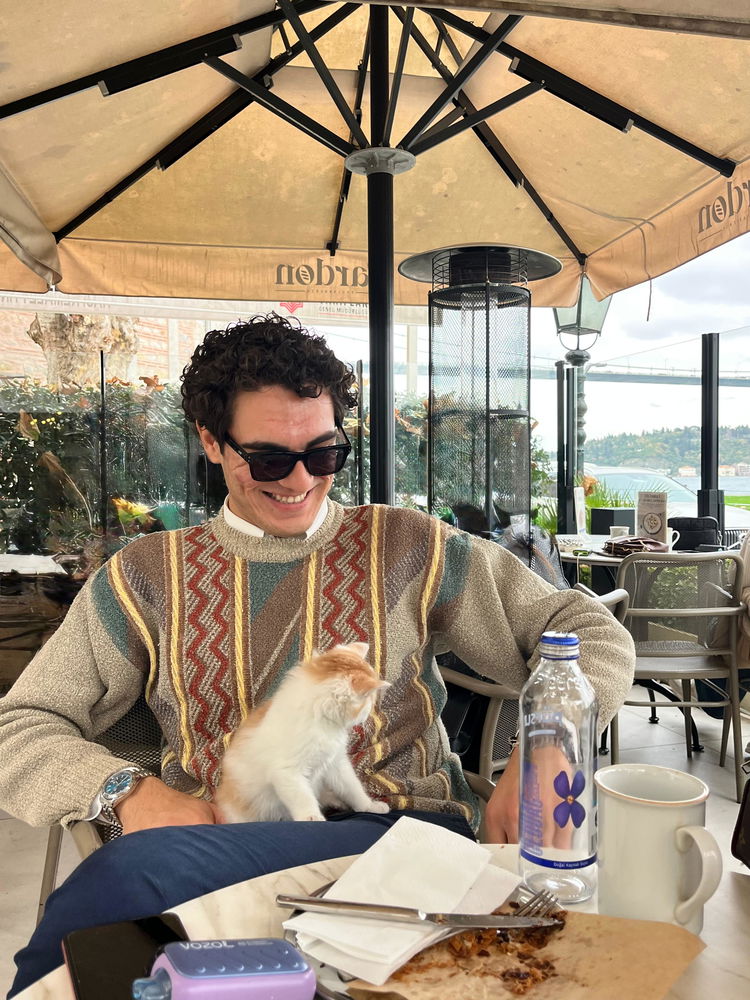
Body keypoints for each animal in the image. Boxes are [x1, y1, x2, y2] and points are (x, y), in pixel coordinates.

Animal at [214, 641, 391, 823]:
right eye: (369, 701)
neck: (321, 721)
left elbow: (353, 788)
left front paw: (369, 806)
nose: (371, 712)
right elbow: (303, 798)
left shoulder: (336, 763)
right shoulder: (288, 772)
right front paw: (311, 817)